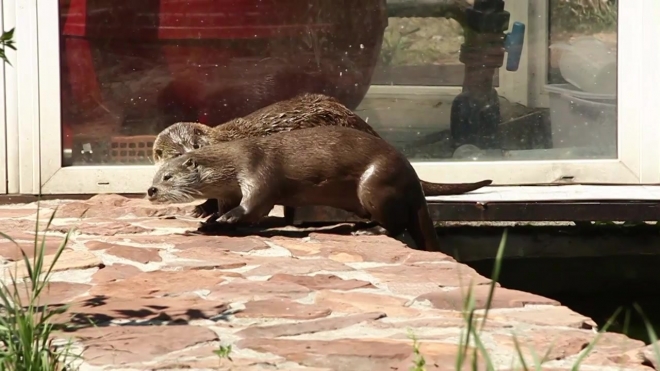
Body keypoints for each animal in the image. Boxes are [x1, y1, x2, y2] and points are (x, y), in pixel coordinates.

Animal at [147, 126, 440, 251]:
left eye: (168, 177)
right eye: (155, 175)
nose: (150, 191)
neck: (232, 161)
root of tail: (413, 178)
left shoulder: (257, 168)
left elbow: (256, 202)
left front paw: (228, 218)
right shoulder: (228, 191)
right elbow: (226, 204)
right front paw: (211, 220)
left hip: (375, 184)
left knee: (398, 224)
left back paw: (368, 231)